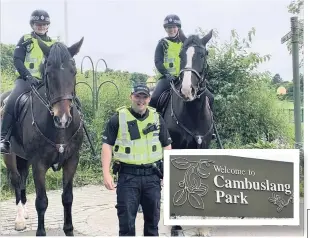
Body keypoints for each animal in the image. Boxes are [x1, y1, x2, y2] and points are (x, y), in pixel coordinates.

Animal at [0, 37, 85, 236]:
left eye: (74, 72)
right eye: (48, 73)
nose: (63, 118)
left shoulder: (71, 160)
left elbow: (67, 197)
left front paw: (69, 229)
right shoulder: (38, 163)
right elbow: (41, 201)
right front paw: (40, 232)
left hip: (23, 157)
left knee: (23, 179)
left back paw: (24, 213)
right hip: (10, 155)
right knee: (17, 180)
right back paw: (19, 220)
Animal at [156, 30, 214, 236]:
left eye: (203, 54)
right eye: (181, 55)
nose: (188, 90)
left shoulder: (203, 147)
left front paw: (203, 226)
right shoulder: (174, 148)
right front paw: (175, 226)